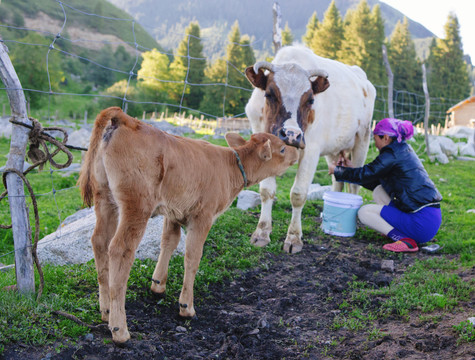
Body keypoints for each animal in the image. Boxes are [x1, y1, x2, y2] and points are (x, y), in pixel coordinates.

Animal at [78, 106, 302, 344]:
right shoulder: (203, 216)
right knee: (120, 249)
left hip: (104, 198)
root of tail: (125, 119)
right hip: (136, 204)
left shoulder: (174, 212)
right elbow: (193, 256)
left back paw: (106, 311)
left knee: (99, 242)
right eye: (282, 149)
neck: (230, 167)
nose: (297, 151)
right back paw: (119, 328)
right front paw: (186, 306)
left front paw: (158, 285)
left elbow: (169, 242)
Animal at [245, 44, 376, 253]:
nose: (291, 134)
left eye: (310, 100)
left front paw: (293, 238)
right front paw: (262, 233)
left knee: (354, 184)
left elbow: (298, 194)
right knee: (338, 180)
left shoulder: (311, 150)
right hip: (334, 149)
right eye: (269, 94)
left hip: (362, 140)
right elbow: (266, 190)